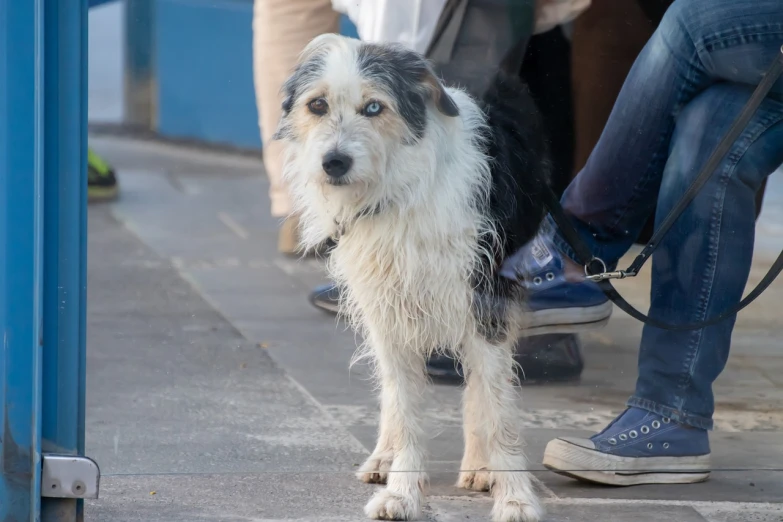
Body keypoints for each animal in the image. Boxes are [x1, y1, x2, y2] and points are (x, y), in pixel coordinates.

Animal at [276, 34, 552, 516]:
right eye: (317, 105)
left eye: (374, 107)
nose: (334, 162)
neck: (397, 191)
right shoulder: (387, 309)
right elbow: (403, 405)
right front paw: (401, 491)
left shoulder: (486, 302)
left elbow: (497, 407)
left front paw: (516, 498)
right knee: (392, 387)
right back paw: (384, 456)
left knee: (479, 386)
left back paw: (480, 465)